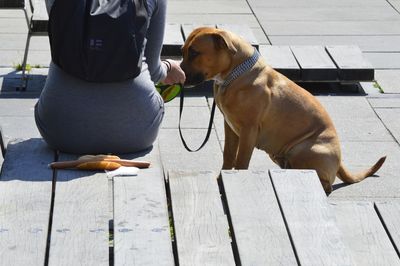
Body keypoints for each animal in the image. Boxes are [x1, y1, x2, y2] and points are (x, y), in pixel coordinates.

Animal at [180, 27, 384, 193]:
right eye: (183, 51)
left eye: (194, 53)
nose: (179, 73)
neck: (234, 74)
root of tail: (339, 161)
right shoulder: (230, 127)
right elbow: (229, 155)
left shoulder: (248, 131)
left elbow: (241, 161)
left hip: (304, 149)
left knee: (325, 184)